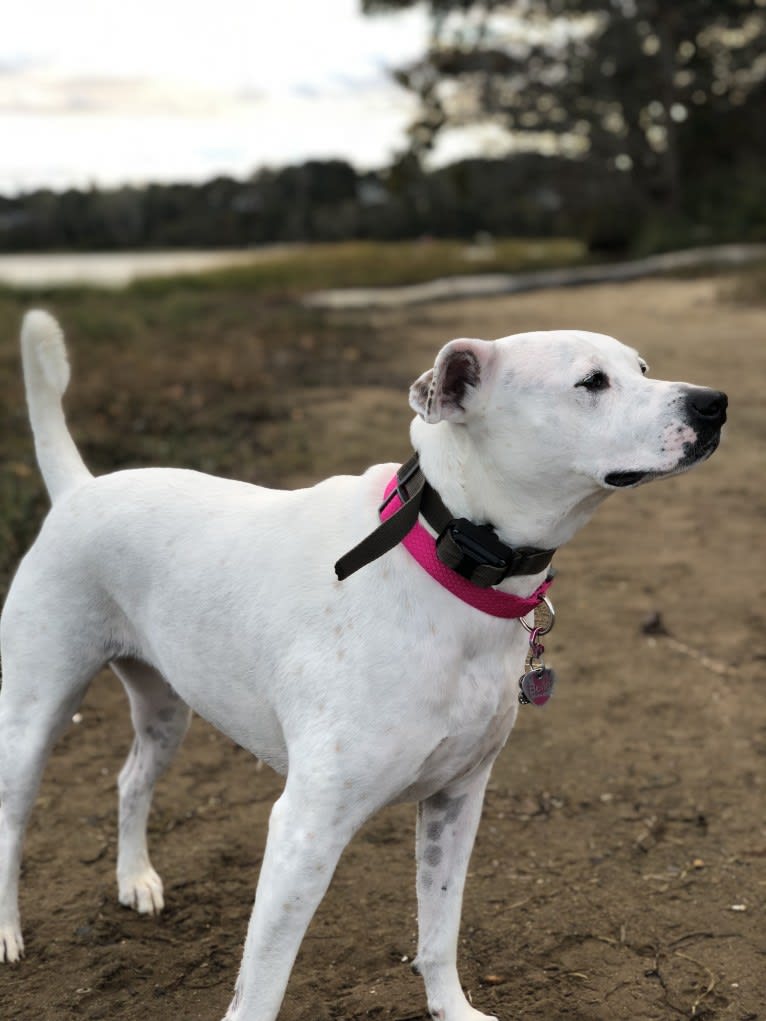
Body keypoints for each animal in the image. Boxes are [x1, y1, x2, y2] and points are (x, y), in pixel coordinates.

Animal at [0, 310, 727, 1021]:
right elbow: (260, 990)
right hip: (33, 719)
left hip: (166, 712)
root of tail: (78, 489)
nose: (714, 402)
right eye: (591, 382)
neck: (444, 556)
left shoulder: (456, 799)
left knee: (130, 780)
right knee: (12, 820)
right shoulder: (305, 830)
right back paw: (8, 931)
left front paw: (452, 1009)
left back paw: (135, 879)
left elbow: (438, 932)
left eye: (642, 367)